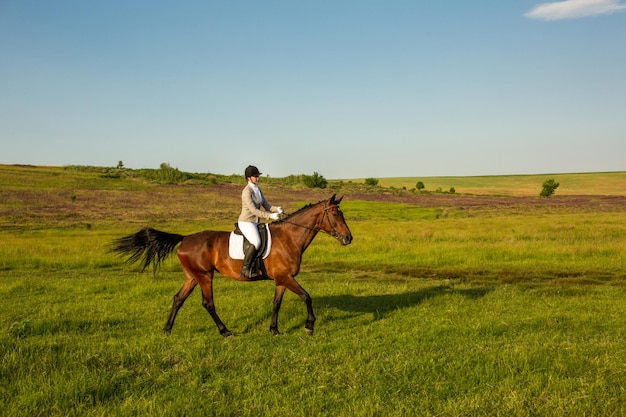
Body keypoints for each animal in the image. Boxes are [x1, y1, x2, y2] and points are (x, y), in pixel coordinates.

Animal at [111, 194, 352, 334]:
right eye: (334, 214)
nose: (349, 238)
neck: (289, 237)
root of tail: (185, 238)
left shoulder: (282, 279)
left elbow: (276, 303)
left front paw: (274, 330)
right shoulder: (286, 277)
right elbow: (306, 296)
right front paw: (309, 326)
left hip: (192, 276)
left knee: (178, 299)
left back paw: (167, 329)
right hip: (205, 276)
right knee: (208, 303)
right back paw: (225, 331)